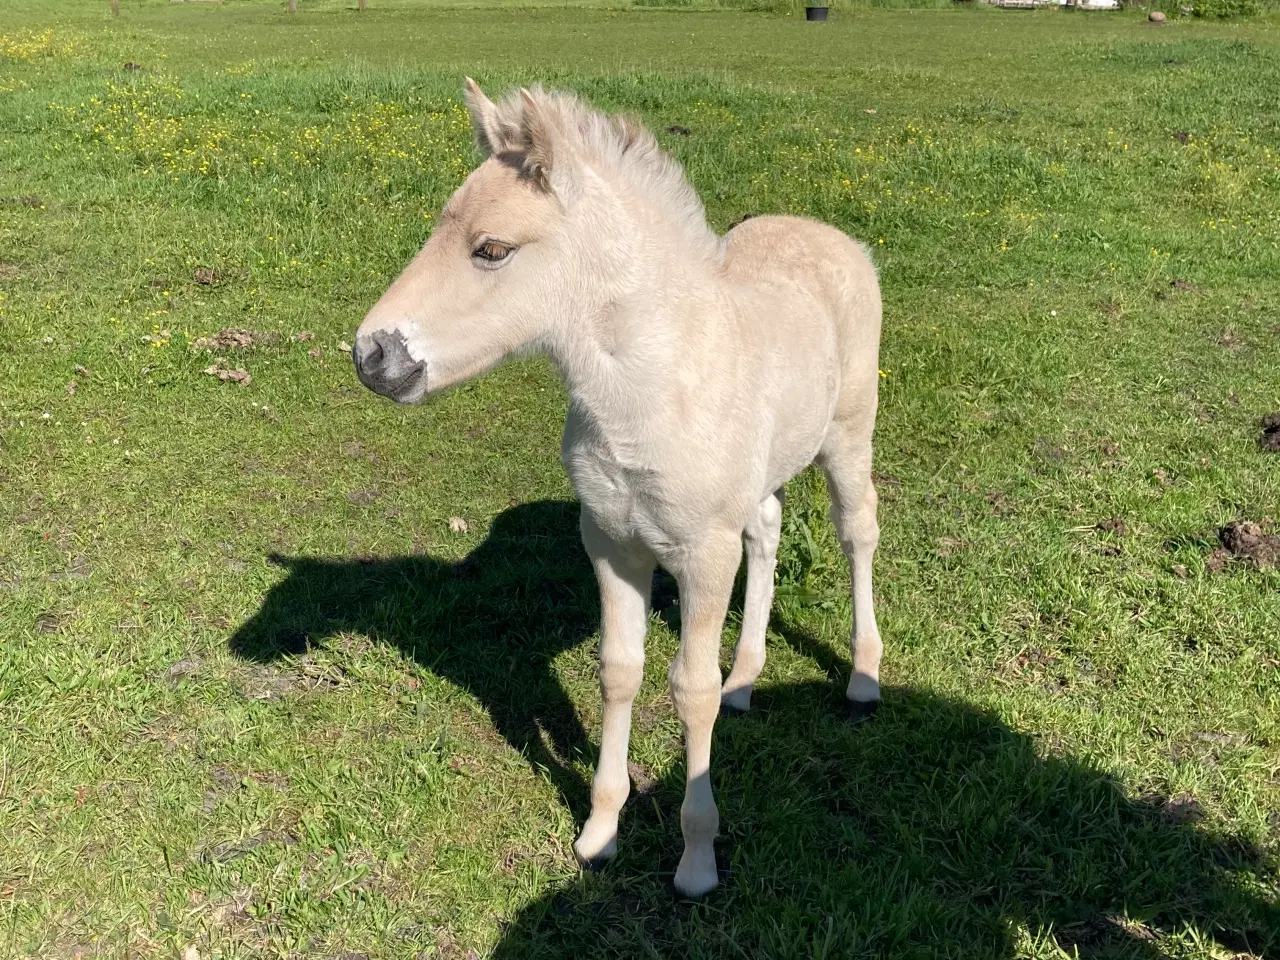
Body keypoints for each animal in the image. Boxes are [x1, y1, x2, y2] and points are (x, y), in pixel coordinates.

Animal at [355, 79, 885, 901]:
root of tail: (830, 235)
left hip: (849, 434)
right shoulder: (610, 544)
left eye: (492, 250)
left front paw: (696, 861)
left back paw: (862, 677)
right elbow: (619, 673)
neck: (650, 388)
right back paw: (746, 680)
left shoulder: (702, 555)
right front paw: (600, 831)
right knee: (767, 526)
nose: (373, 356)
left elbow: (688, 689)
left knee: (858, 529)